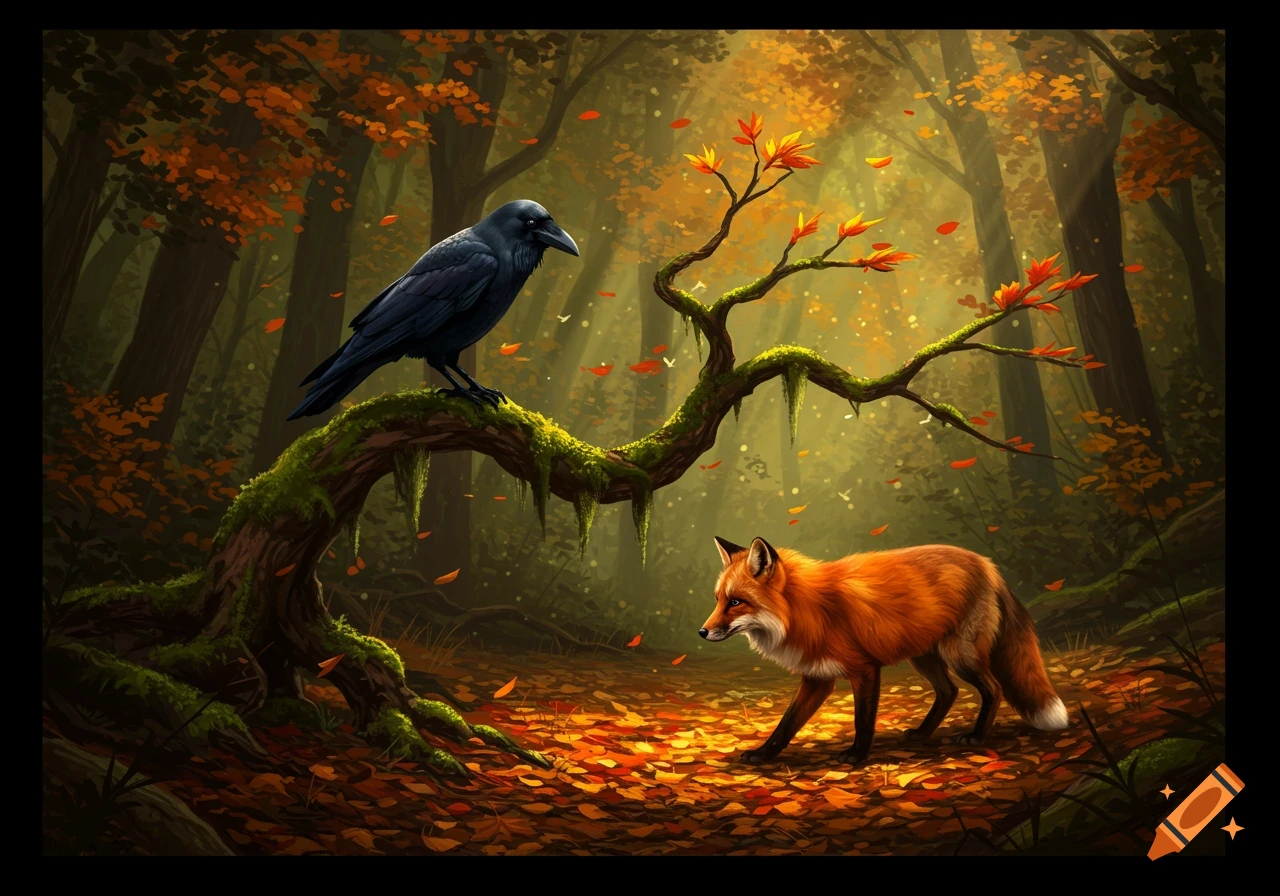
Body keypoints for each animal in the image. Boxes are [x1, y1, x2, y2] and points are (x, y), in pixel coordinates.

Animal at [700, 536, 1068, 766]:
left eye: (736, 602)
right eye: (718, 600)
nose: (702, 632)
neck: (807, 609)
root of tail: (986, 563)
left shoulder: (864, 669)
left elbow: (863, 720)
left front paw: (857, 756)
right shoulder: (817, 678)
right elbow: (786, 724)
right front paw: (764, 755)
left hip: (959, 655)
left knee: (994, 688)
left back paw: (976, 737)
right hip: (923, 656)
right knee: (948, 691)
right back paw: (922, 733)